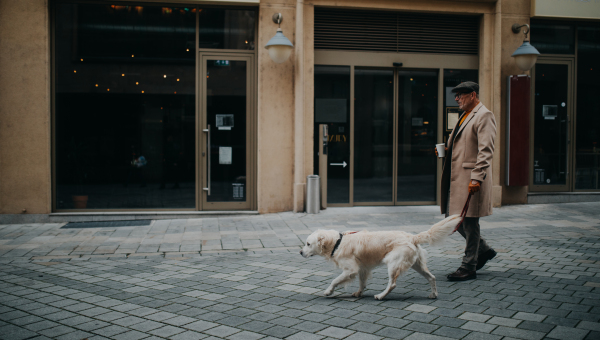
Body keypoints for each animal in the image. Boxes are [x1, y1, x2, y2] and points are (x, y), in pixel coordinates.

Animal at [300, 215, 464, 300]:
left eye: (308, 244)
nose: (300, 252)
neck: (338, 242)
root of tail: (412, 237)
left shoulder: (351, 270)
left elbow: (335, 280)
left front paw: (329, 291)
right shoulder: (362, 268)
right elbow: (362, 283)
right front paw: (359, 293)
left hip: (393, 263)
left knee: (392, 284)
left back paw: (381, 295)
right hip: (417, 265)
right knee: (432, 277)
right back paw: (434, 294)